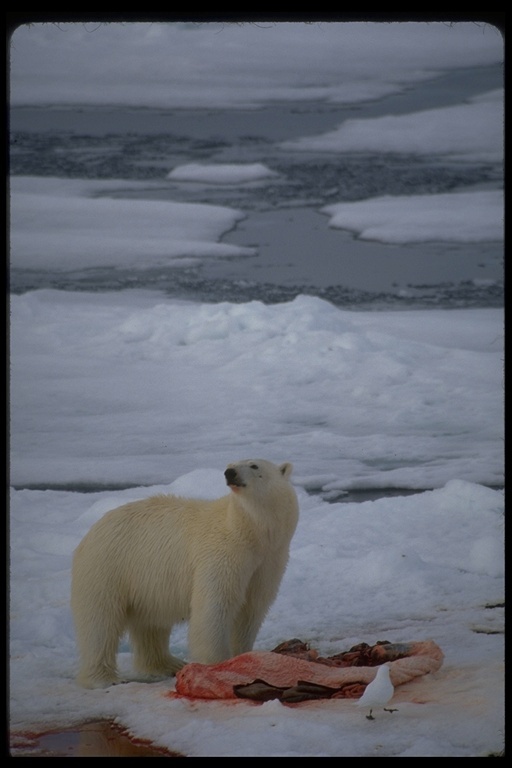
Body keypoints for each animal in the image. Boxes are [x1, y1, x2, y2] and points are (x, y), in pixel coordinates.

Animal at [70, 460, 298, 688]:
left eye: (254, 465)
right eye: (232, 464)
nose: (230, 473)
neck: (252, 533)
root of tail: (92, 531)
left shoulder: (269, 560)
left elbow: (251, 608)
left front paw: (244, 656)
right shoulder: (224, 553)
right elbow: (216, 605)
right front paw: (217, 663)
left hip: (146, 582)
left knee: (150, 624)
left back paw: (168, 664)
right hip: (109, 567)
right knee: (100, 622)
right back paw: (105, 679)